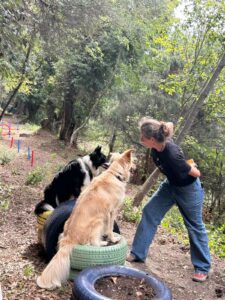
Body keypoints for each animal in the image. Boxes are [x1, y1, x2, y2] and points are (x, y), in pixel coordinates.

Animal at [36, 149, 134, 290]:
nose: (135, 168)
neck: (114, 173)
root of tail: (68, 239)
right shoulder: (112, 212)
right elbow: (110, 228)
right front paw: (113, 239)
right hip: (98, 220)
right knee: (91, 243)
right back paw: (102, 242)